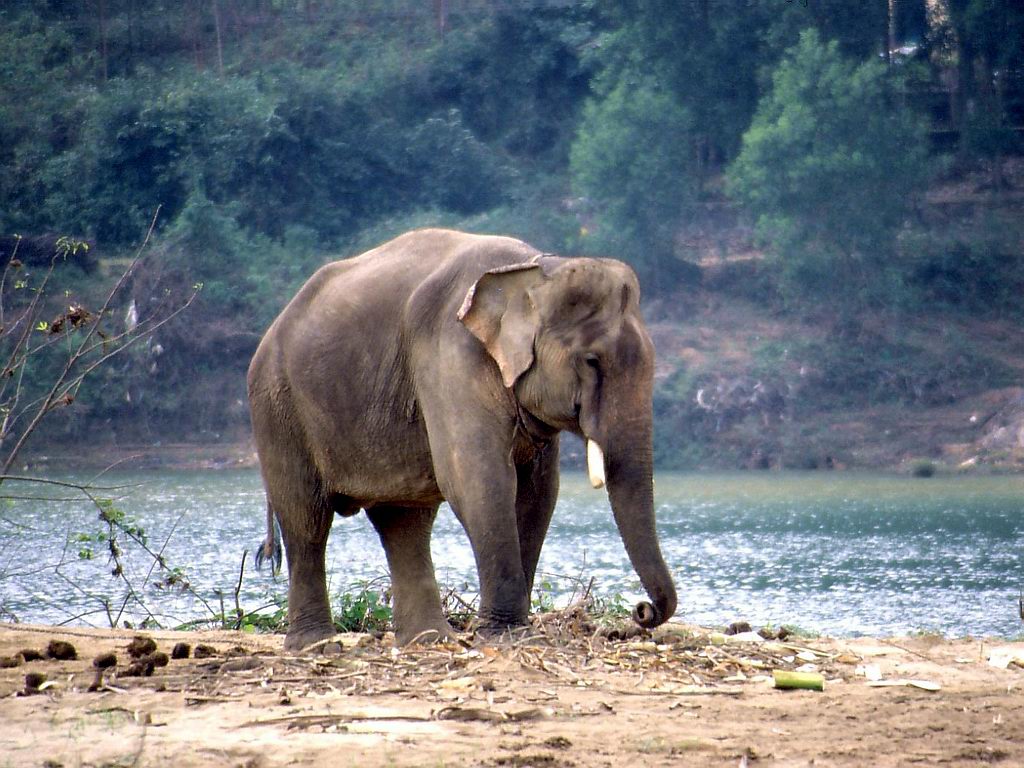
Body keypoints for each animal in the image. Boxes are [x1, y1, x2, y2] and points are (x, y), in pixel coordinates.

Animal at [248, 228, 677, 650]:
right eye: (591, 361)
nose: (643, 611)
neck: (536, 270)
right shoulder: (451, 352)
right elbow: (478, 478)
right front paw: (508, 636)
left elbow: (540, 492)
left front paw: (518, 632)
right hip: (277, 406)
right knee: (306, 517)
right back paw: (316, 646)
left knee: (403, 521)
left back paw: (428, 640)